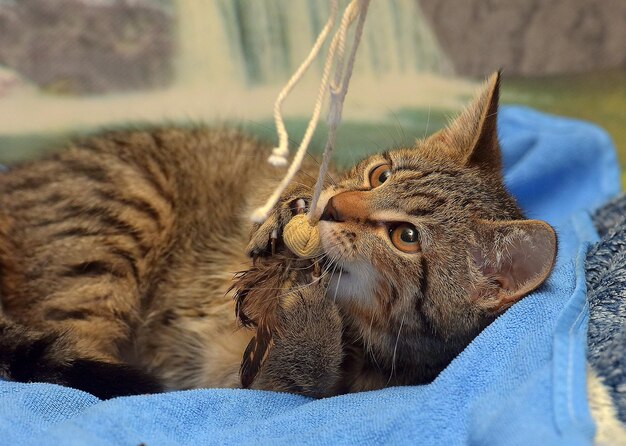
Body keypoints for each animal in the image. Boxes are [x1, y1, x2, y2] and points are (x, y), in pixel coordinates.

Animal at [0, 71, 552, 398]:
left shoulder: (234, 380)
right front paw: (288, 214)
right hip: (121, 209)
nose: (334, 208)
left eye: (406, 237)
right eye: (379, 175)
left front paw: (307, 322)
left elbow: (289, 385)